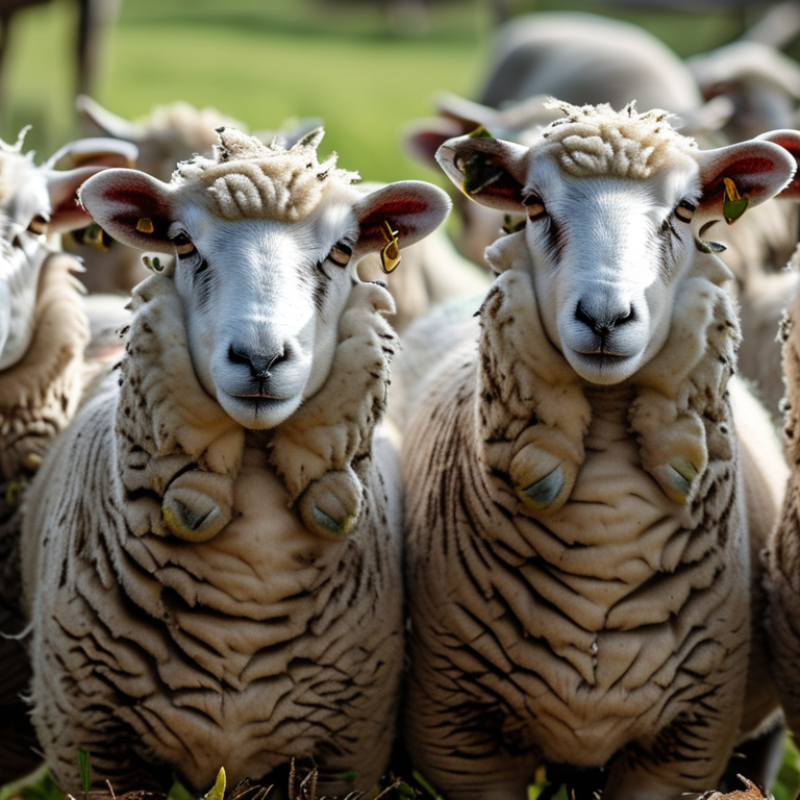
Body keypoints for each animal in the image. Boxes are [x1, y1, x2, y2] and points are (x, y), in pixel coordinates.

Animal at [20, 126, 450, 795]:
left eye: (343, 250)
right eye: (182, 243)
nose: (260, 358)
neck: (248, 584)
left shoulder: (344, 753)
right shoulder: (95, 749)